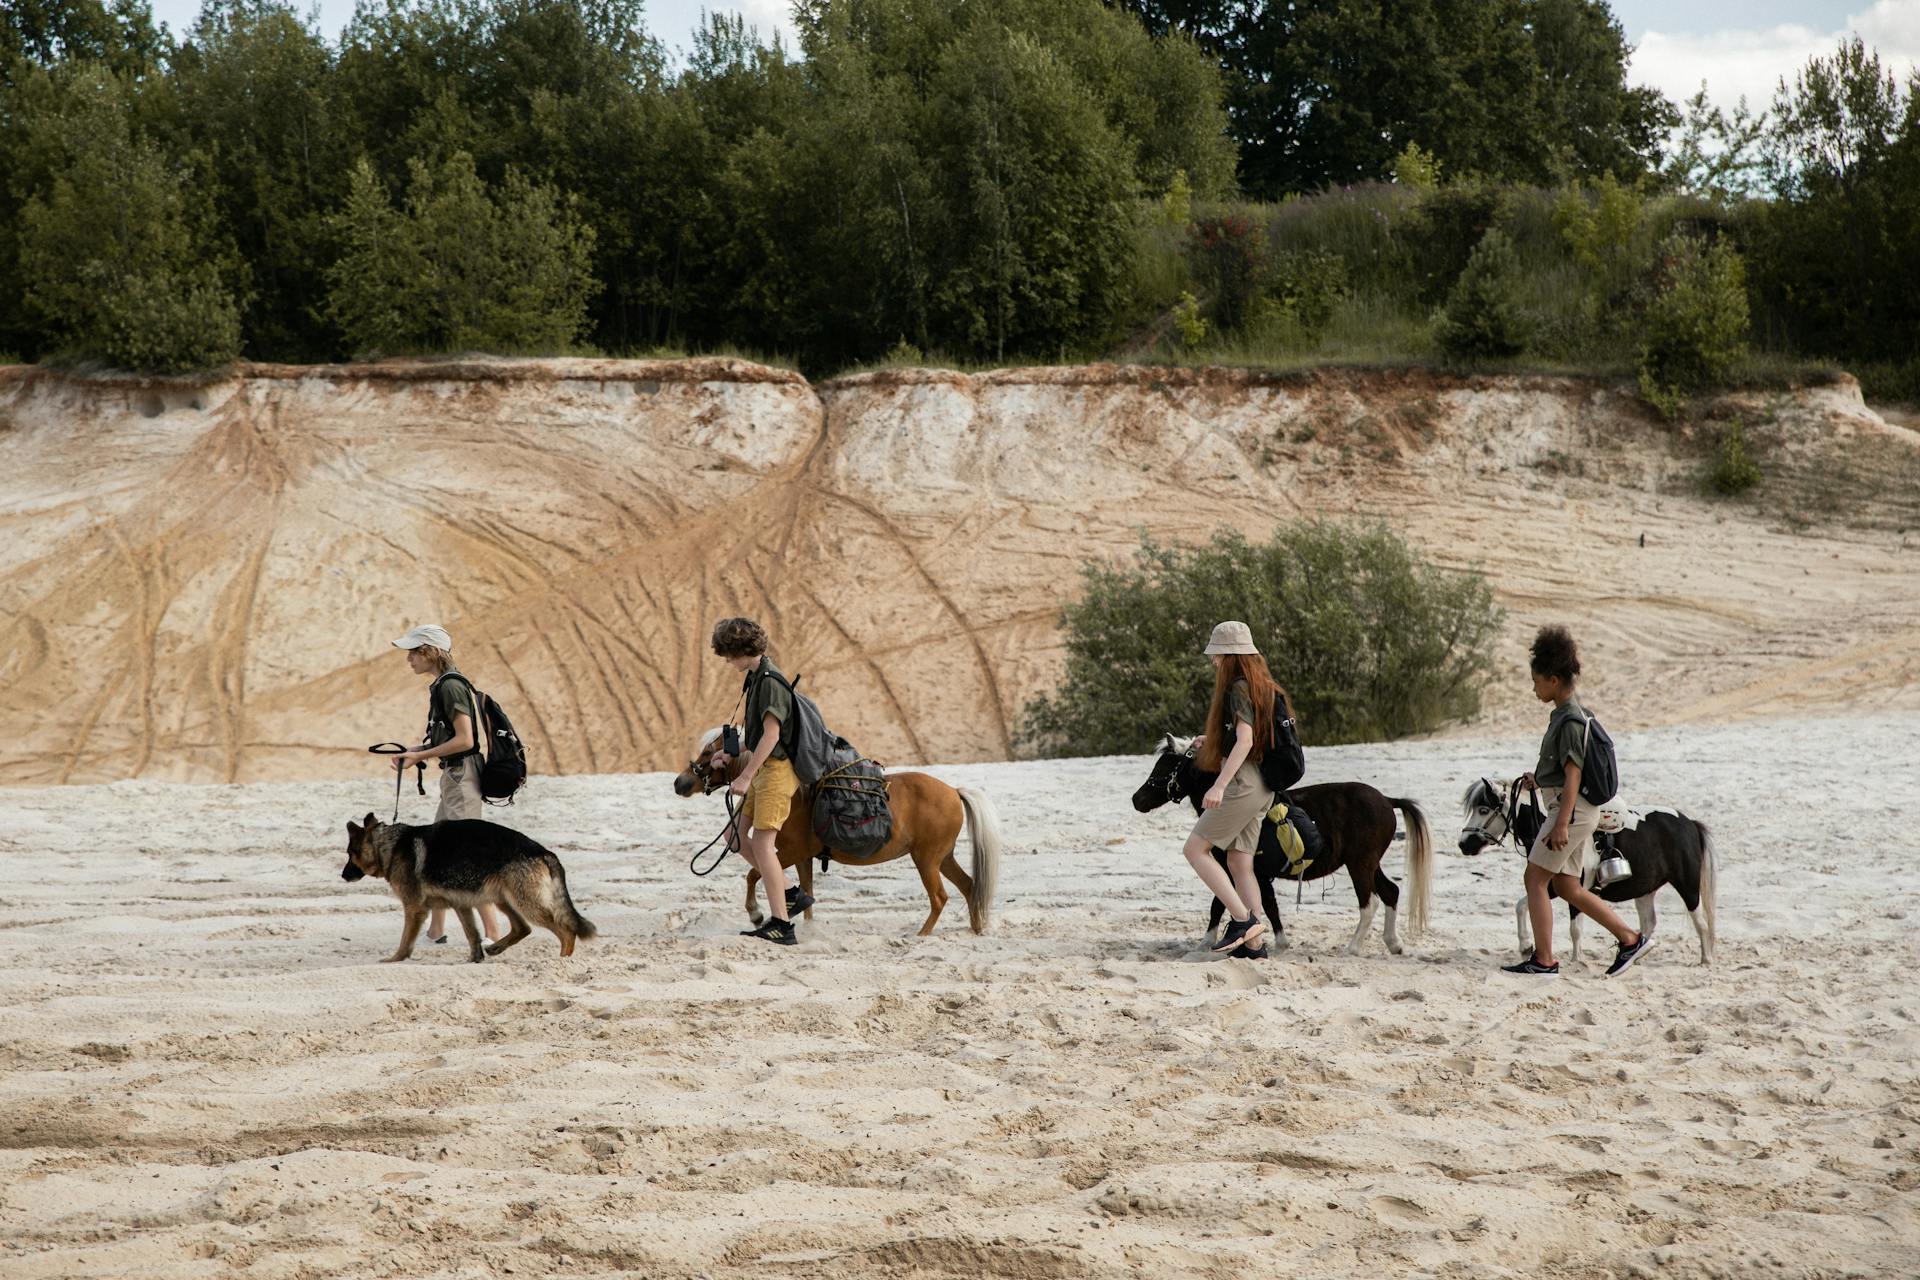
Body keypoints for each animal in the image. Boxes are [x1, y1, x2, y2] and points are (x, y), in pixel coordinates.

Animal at [337, 821, 591, 959]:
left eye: (350, 854)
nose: (342, 876)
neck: (389, 845)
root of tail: (544, 851)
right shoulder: (461, 904)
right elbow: (472, 934)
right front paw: (475, 958)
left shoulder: (415, 909)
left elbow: (405, 941)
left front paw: (394, 960)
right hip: (503, 900)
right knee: (523, 928)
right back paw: (496, 948)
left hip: (527, 904)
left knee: (566, 931)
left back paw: (562, 961)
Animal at [675, 725, 1006, 936]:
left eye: (708, 754)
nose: (679, 783)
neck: (794, 795)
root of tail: (954, 791)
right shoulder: (803, 857)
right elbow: (806, 891)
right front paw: (807, 926)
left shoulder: (789, 852)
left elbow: (754, 874)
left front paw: (757, 914)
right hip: (943, 858)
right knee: (969, 886)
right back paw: (975, 930)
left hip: (926, 860)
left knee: (939, 897)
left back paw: (920, 936)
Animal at [1128, 736, 1436, 955]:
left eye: (1165, 767)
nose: (1136, 800)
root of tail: (1387, 800)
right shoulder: (1256, 874)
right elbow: (1265, 904)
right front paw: (1276, 941)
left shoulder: (1235, 867)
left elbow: (1222, 902)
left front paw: (1207, 942)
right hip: (1369, 862)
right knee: (1390, 891)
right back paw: (1393, 943)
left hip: (1360, 864)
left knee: (1369, 903)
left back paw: (1353, 947)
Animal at [1459, 775, 1720, 967]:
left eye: (1483, 810)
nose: (1463, 844)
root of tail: (1688, 823)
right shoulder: (1549, 887)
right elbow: (1521, 906)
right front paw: (1525, 947)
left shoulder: (1574, 889)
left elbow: (1575, 929)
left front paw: (1576, 960)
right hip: (1645, 890)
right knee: (1648, 923)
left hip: (1687, 885)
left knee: (1700, 922)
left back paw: (1705, 960)